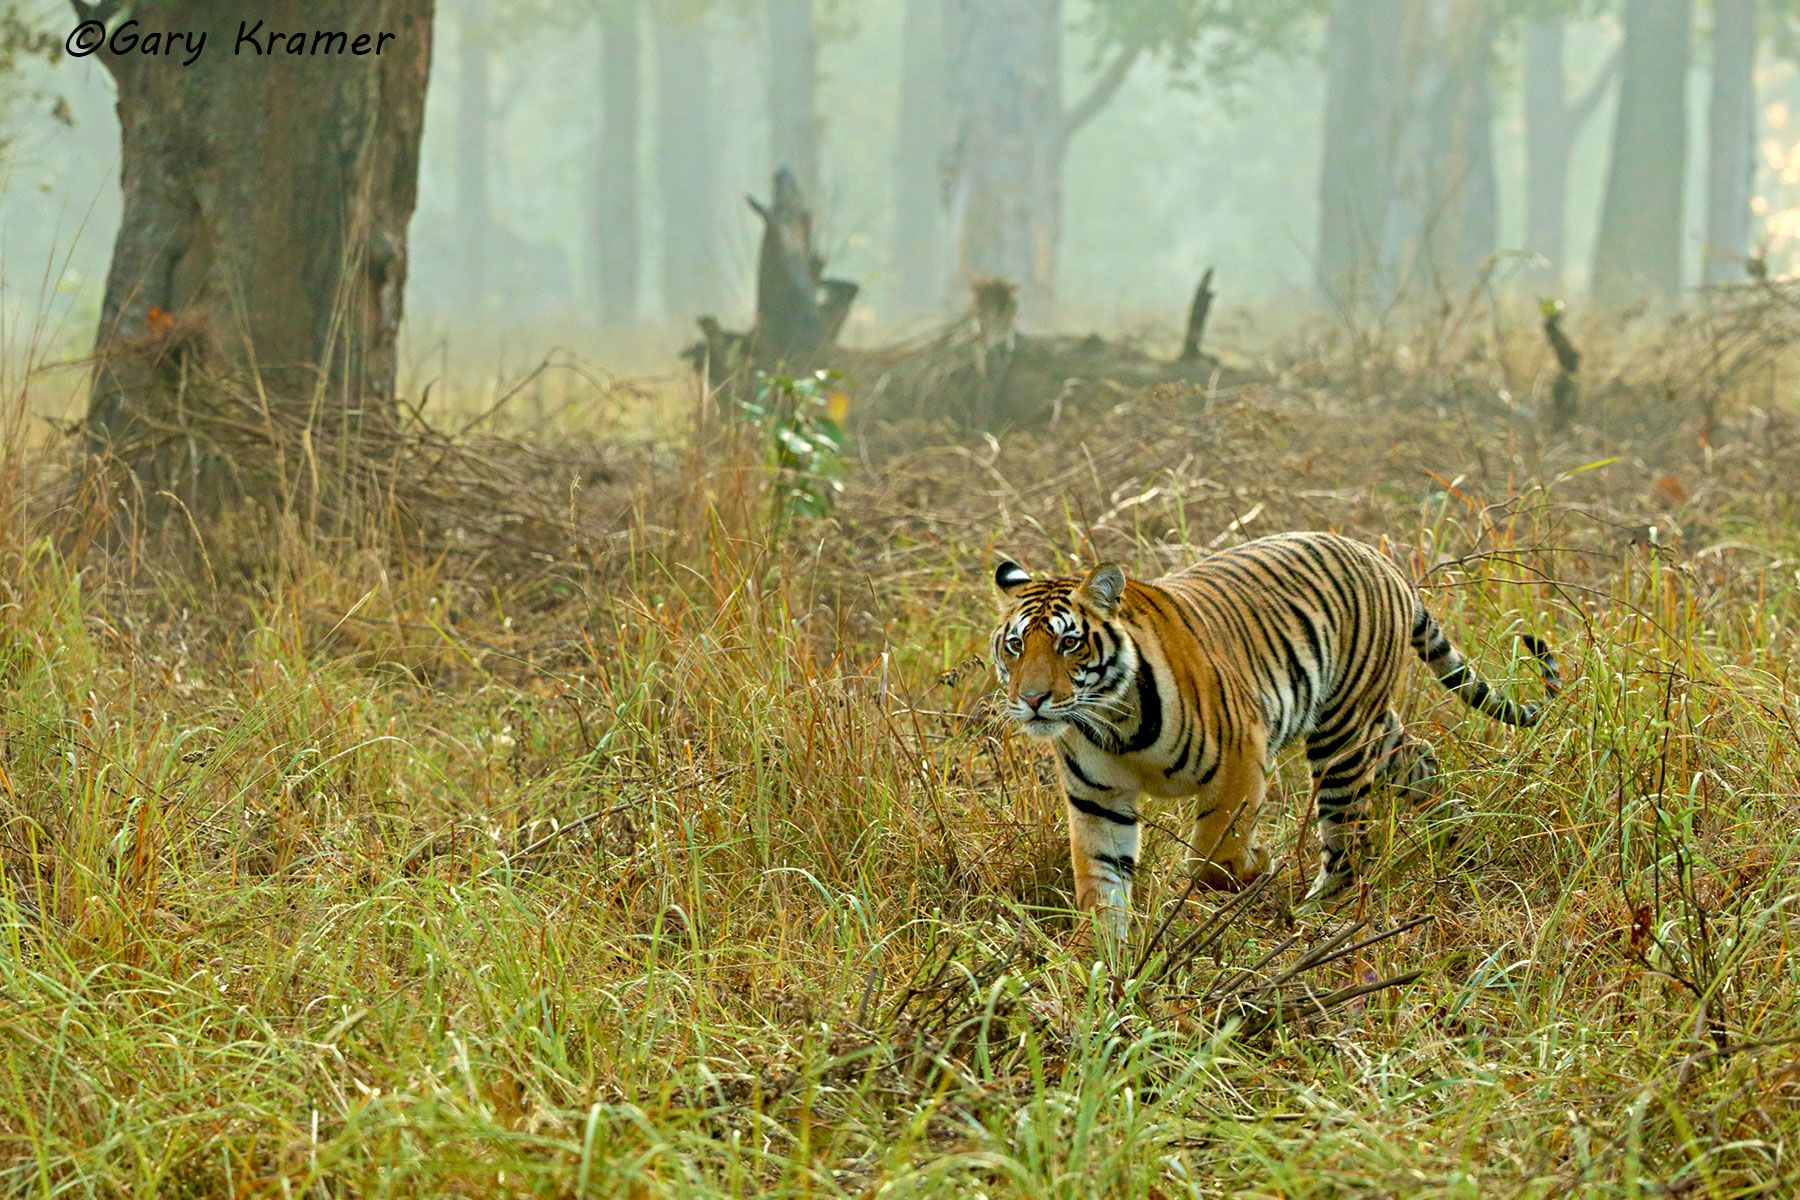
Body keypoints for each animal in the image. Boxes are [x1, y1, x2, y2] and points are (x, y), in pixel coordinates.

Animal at [989, 531, 1559, 940]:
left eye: (1069, 643)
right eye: (1015, 645)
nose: (1032, 699)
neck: (1115, 724)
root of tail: (1382, 561)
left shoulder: (1241, 758)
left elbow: (1213, 858)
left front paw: (1257, 866)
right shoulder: (1098, 800)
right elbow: (1100, 886)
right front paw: (1102, 969)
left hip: (1341, 736)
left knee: (1346, 838)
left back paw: (1316, 912)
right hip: (1375, 725)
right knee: (1421, 755)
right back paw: (1452, 833)